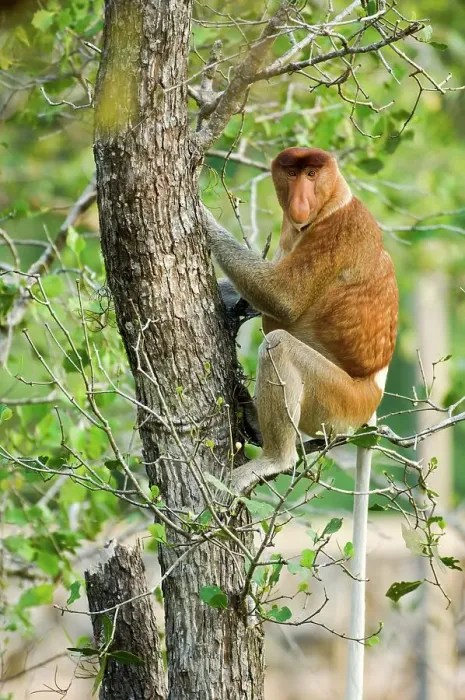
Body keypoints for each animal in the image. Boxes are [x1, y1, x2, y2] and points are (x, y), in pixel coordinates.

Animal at [204, 147, 398, 495]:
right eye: (292, 174)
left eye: (311, 174)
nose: (299, 201)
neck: (333, 202)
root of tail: (373, 397)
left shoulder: (336, 233)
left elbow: (284, 299)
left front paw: (203, 218)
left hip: (340, 403)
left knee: (279, 345)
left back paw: (275, 459)